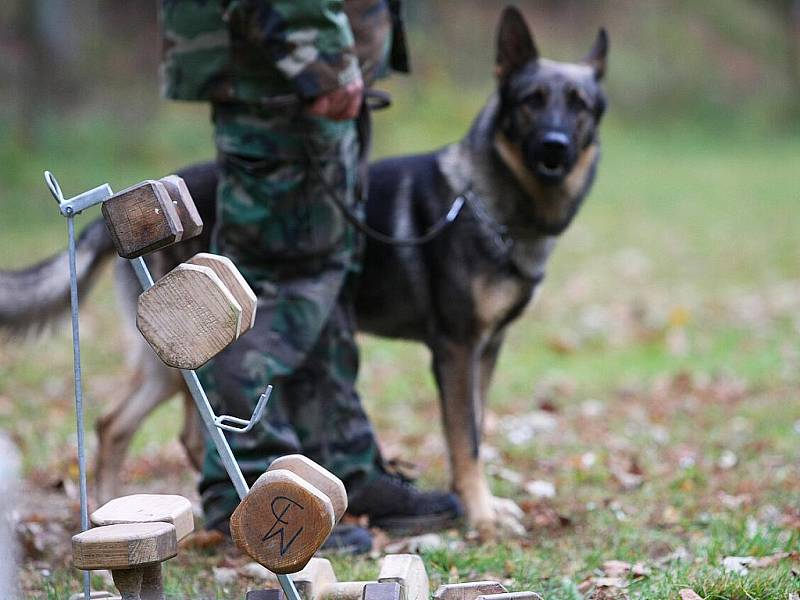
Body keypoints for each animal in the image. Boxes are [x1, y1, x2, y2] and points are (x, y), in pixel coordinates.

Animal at [0, 8, 608, 536]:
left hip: (176, 359)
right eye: (531, 102)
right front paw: (479, 515)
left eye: (578, 105)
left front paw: (482, 504)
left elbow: (476, 428)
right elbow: (468, 439)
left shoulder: (487, 349)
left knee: (125, 425)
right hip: (193, 346)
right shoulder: (456, 350)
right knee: (137, 426)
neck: (490, 202)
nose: (554, 149)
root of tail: (121, 205)